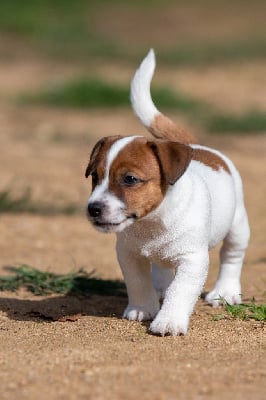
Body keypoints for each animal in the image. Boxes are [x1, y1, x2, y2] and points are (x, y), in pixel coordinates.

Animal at [84, 50, 249, 338]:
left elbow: (180, 292)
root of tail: (195, 146)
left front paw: (168, 321)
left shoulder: (192, 261)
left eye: (130, 179)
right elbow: (138, 283)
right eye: (95, 177)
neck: (153, 222)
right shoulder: (129, 254)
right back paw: (160, 286)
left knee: (231, 257)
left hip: (238, 226)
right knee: (161, 268)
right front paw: (143, 308)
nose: (93, 209)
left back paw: (225, 292)